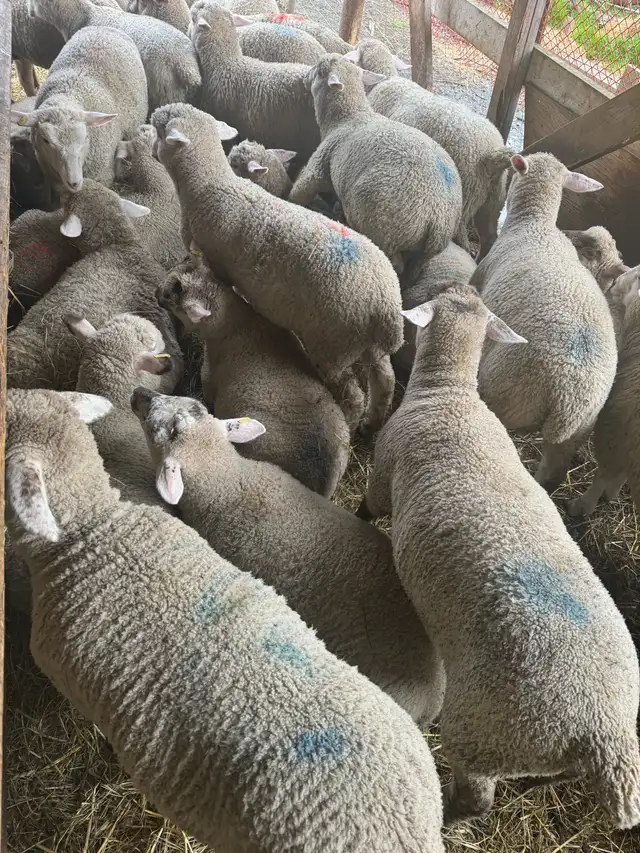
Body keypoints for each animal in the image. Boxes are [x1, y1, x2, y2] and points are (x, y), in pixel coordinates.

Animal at [10, 27, 148, 192]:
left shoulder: (102, 176)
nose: (74, 182)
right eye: (45, 140)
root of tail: (101, 28)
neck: (68, 94)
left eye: (86, 137)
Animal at [152, 102, 403, 434]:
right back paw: (372, 422)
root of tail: (386, 305)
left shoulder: (216, 267)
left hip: (333, 345)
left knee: (352, 394)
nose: (150, 147)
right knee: (385, 378)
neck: (210, 187)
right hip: (364, 343)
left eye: (159, 130)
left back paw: (351, 423)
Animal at [289, 55, 463, 272]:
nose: (304, 78)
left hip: (378, 224)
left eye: (320, 70)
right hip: (423, 253)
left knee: (395, 262)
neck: (349, 117)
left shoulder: (320, 166)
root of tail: (438, 220)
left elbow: (300, 192)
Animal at [473, 153, 617, 490]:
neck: (534, 222)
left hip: (503, 395)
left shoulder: (481, 273)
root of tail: (570, 400)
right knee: (552, 474)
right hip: (576, 431)